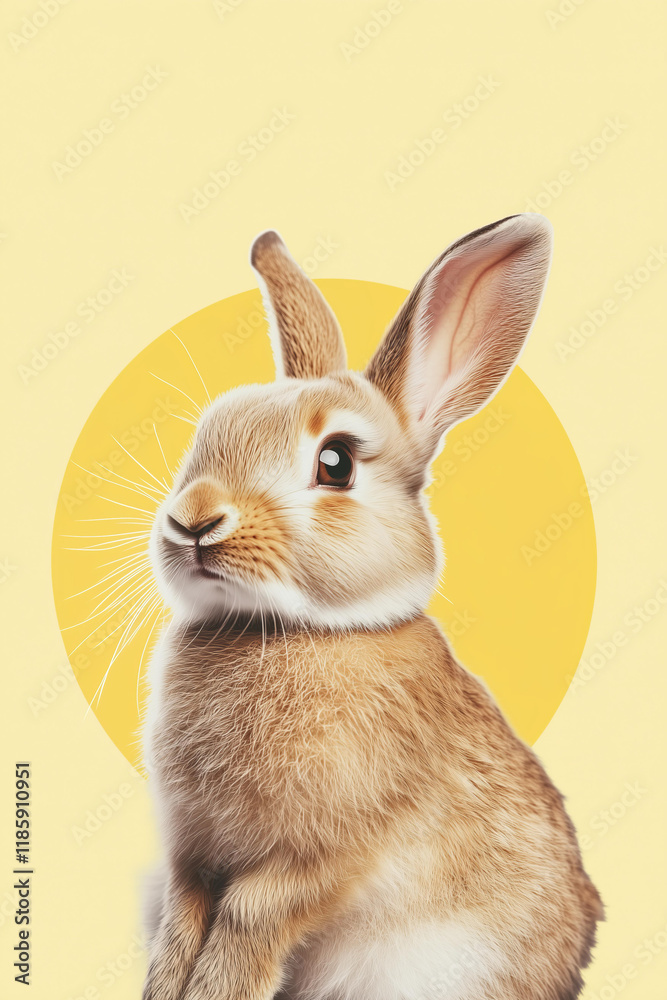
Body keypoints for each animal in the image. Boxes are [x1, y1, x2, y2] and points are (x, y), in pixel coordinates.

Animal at [141, 214, 603, 1000]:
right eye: (207, 435)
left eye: (336, 463)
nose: (194, 520)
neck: (296, 629)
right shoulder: (192, 856)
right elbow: (183, 921)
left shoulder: (318, 860)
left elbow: (246, 920)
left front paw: (216, 991)